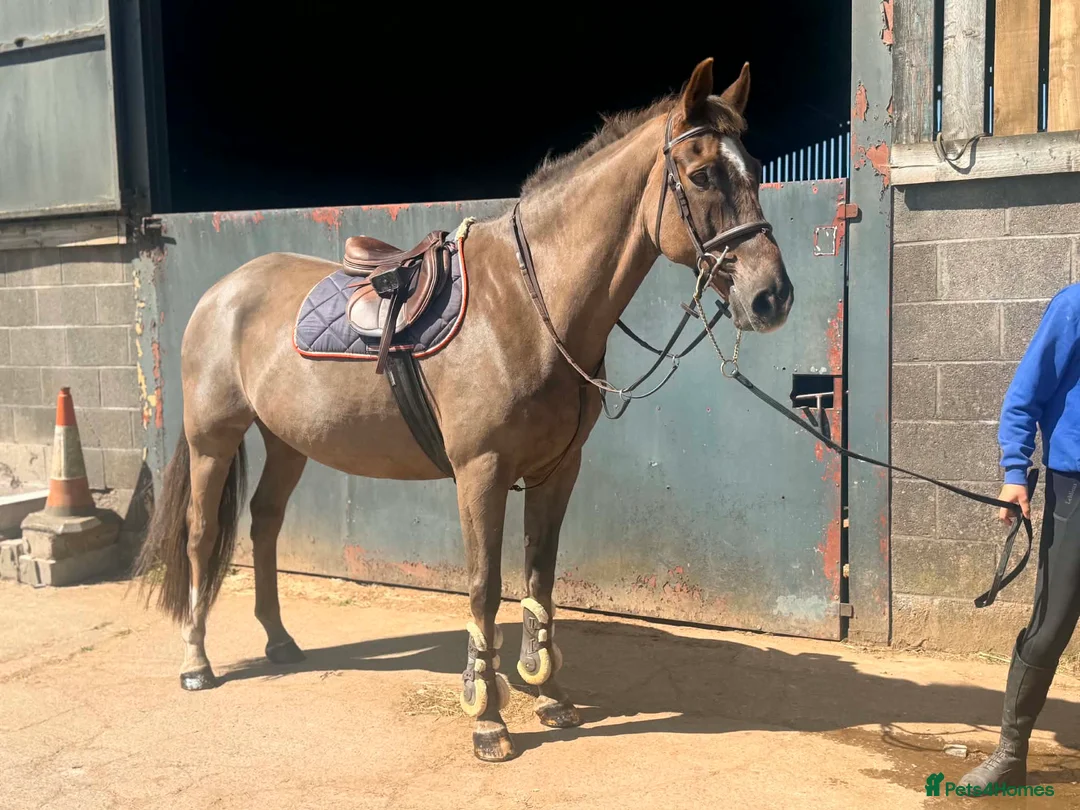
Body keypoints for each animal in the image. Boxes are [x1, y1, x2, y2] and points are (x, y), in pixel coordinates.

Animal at [134, 57, 793, 763]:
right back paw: (197, 663)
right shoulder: (481, 472)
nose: (771, 297)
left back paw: (280, 642)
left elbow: (540, 579)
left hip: (287, 441)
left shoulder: (557, 471)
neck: (530, 303)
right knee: (202, 536)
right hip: (213, 438)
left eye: (756, 168)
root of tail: (222, 292)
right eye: (701, 174)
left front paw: (550, 696)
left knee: (263, 524)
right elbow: (484, 585)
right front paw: (488, 719)